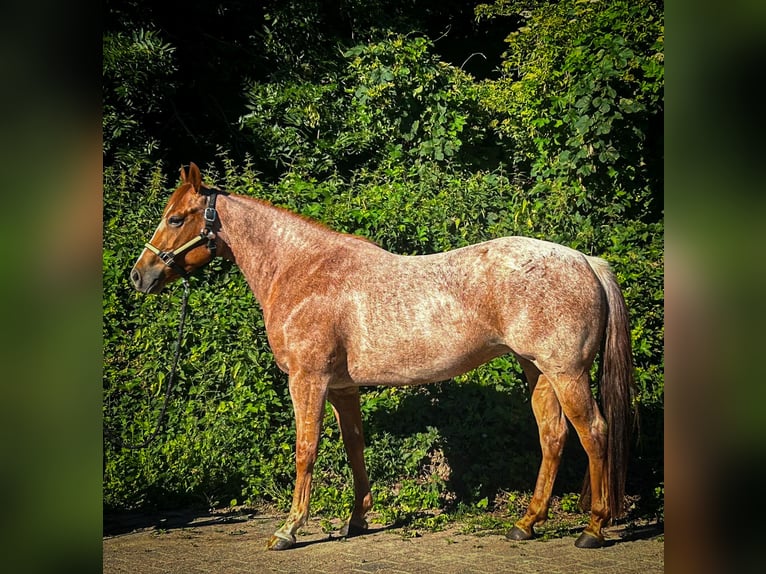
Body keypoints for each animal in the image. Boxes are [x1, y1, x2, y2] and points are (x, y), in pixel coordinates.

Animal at [130, 162, 635, 550]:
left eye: (176, 218)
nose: (139, 276)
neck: (303, 272)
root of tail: (587, 261)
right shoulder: (342, 388)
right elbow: (355, 447)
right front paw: (357, 521)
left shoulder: (308, 381)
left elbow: (305, 451)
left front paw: (289, 530)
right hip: (539, 372)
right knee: (553, 436)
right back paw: (526, 525)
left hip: (567, 372)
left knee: (594, 433)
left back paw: (593, 528)